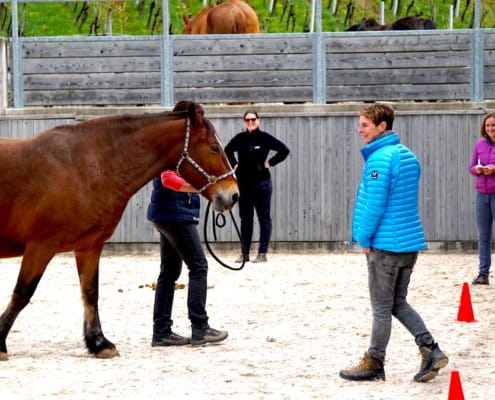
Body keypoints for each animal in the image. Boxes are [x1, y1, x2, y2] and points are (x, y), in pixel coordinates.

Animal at [0, 99, 238, 360]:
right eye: (214, 148)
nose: (233, 195)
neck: (82, 166)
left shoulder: (89, 247)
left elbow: (90, 293)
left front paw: (99, 343)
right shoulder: (41, 246)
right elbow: (22, 293)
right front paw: (0, 345)